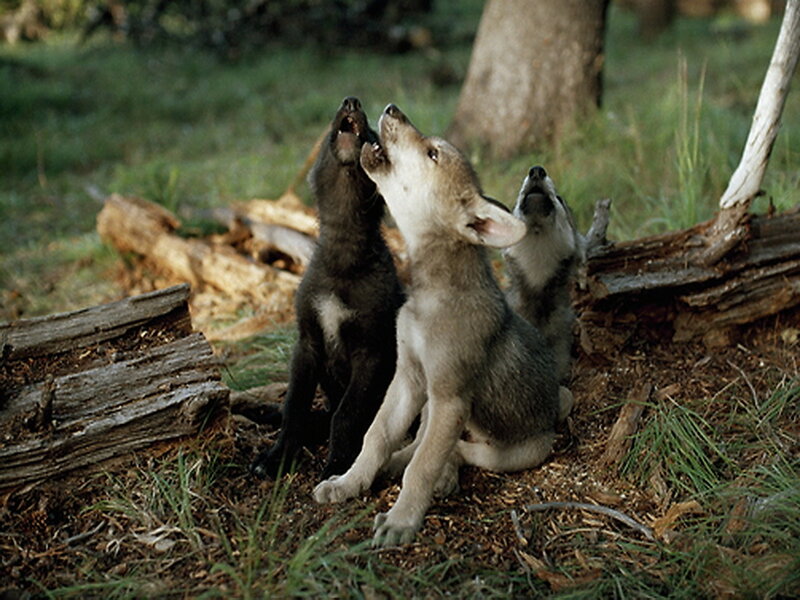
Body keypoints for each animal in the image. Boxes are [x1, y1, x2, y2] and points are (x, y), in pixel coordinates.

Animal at [250, 97, 404, 480]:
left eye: (372, 135)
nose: (352, 100)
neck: (344, 255)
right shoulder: (307, 344)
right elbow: (294, 409)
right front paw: (277, 457)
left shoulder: (372, 353)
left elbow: (346, 416)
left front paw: (337, 465)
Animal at [313, 104, 572, 547]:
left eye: (432, 154)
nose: (390, 108)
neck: (430, 296)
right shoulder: (408, 380)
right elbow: (376, 437)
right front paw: (349, 482)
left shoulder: (449, 397)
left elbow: (422, 466)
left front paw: (401, 520)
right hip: (431, 405)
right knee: (422, 445)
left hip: (513, 451)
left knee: (455, 452)